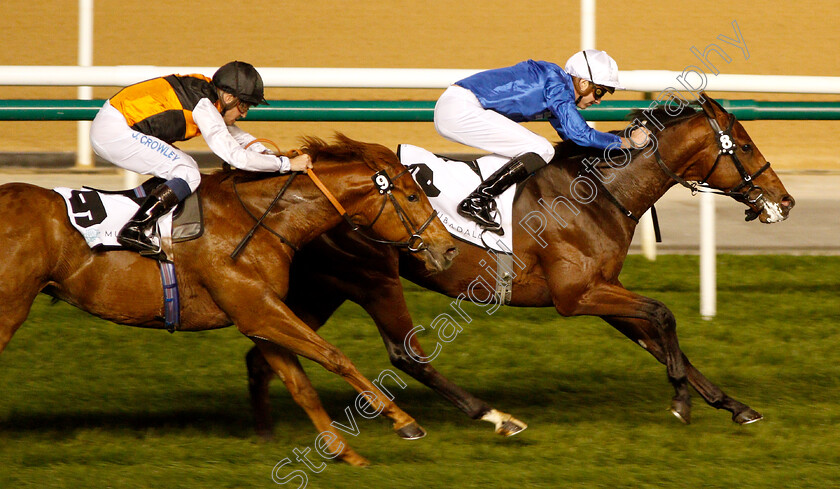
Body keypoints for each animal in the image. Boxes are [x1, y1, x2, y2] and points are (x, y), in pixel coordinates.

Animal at [0, 132, 460, 466]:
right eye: (414, 195)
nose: (449, 249)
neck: (261, 219)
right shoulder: (258, 309)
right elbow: (335, 357)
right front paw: (405, 422)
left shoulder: (260, 316)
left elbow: (299, 385)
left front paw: (345, 452)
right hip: (9, 308)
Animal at [241, 94, 796, 458]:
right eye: (745, 145)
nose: (785, 200)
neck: (599, 190)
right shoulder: (578, 296)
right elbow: (664, 315)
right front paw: (681, 402)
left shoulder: (603, 289)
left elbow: (659, 337)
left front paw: (734, 405)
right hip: (371, 277)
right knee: (405, 354)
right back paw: (493, 417)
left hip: (324, 284)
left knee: (265, 349)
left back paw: (263, 434)